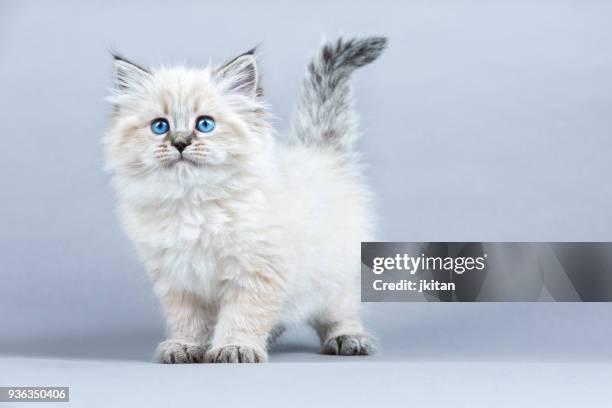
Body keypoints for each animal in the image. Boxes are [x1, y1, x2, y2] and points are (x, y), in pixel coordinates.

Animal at [102, 35, 384, 364]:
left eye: (205, 124)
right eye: (160, 126)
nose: (180, 143)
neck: (194, 202)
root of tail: (322, 155)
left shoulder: (256, 270)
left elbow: (243, 314)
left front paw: (235, 347)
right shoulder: (178, 280)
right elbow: (188, 320)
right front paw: (185, 346)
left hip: (336, 278)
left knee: (340, 312)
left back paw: (347, 338)